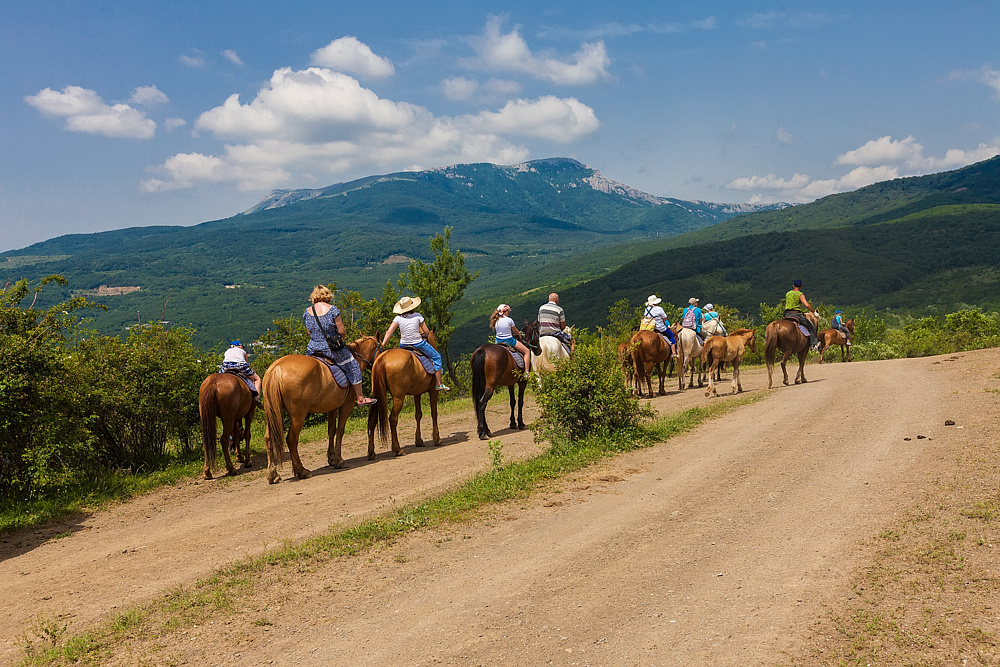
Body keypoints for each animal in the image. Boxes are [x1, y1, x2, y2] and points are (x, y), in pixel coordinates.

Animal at [260, 336, 380, 482]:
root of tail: (276, 368)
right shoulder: (347, 405)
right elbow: (340, 430)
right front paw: (339, 460)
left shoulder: (332, 407)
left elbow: (331, 431)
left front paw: (332, 458)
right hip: (298, 415)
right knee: (291, 439)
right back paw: (301, 471)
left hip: (272, 413)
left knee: (268, 438)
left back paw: (273, 474)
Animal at [368, 328, 442, 460]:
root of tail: (382, 359)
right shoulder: (434, 391)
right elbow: (434, 413)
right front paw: (437, 438)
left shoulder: (417, 393)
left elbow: (418, 414)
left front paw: (419, 440)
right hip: (399, 398)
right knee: (393, 419)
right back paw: (397, 449)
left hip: (376, 396)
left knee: (372, 420)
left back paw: (371, 452)